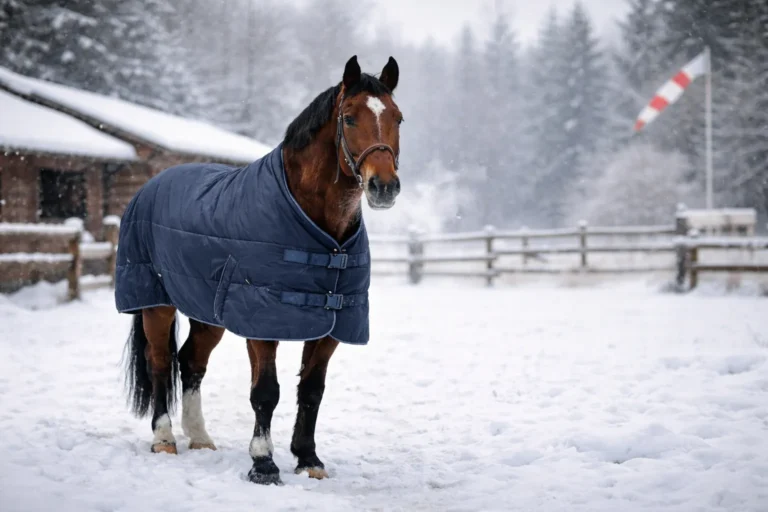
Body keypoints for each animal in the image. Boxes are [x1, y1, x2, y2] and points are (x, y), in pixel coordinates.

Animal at [117, 56, 402, 485]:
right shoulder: (262, 322)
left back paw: (200, 437)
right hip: (156, 303)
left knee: (191, 362)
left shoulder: (331, 323)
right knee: (160, 363)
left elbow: (312, 391)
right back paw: (164, 438)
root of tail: (150, 186)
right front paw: (263, 463)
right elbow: (266, 391)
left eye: (398, 118)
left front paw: (308, 459)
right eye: (350, 118)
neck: (325, 235)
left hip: (208, 312)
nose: (384, 186)